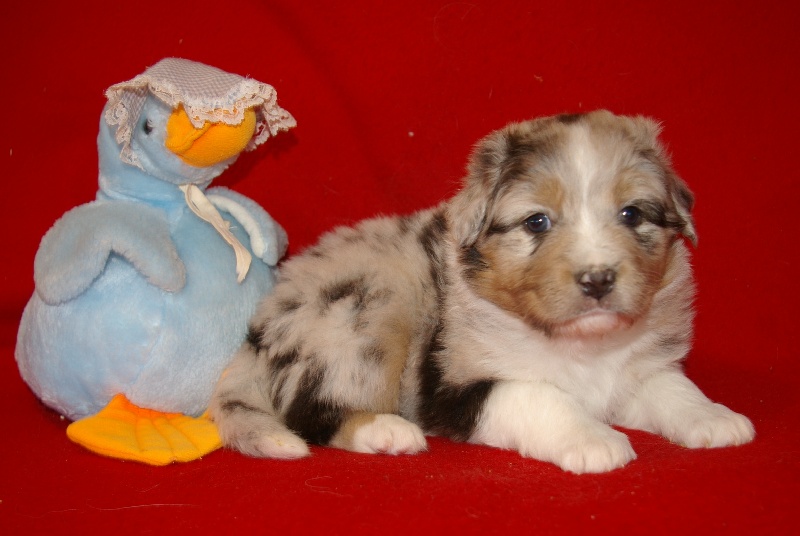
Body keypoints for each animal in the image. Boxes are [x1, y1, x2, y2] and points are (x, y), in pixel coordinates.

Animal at [210, 110, 755, 473]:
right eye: (537, 222)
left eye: (632, 214)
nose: (598, 279)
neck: (582, 346)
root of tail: (258, 328)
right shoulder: (454, 388)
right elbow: (538, 394)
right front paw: (595, 440)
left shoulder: (634, 369)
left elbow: (671, 385)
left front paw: (715, 418)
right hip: (371, 304)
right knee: (307, 411)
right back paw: (386, 431)